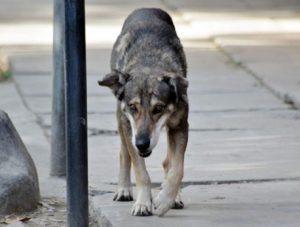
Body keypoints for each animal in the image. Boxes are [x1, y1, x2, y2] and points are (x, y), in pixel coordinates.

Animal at [98, 7, 188, 216]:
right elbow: (141, 172)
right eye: (133, 107)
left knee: (168, 161)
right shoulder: (130, 129)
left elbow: (177, 168)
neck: (149, 64)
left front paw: (165, 199)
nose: (142, 144)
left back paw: (174, 196)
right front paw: (142, 203)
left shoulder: (180, 126)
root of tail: (146, 8)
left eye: (159, 108)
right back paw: (123, 190)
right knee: (124, 154)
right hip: (121, 122)